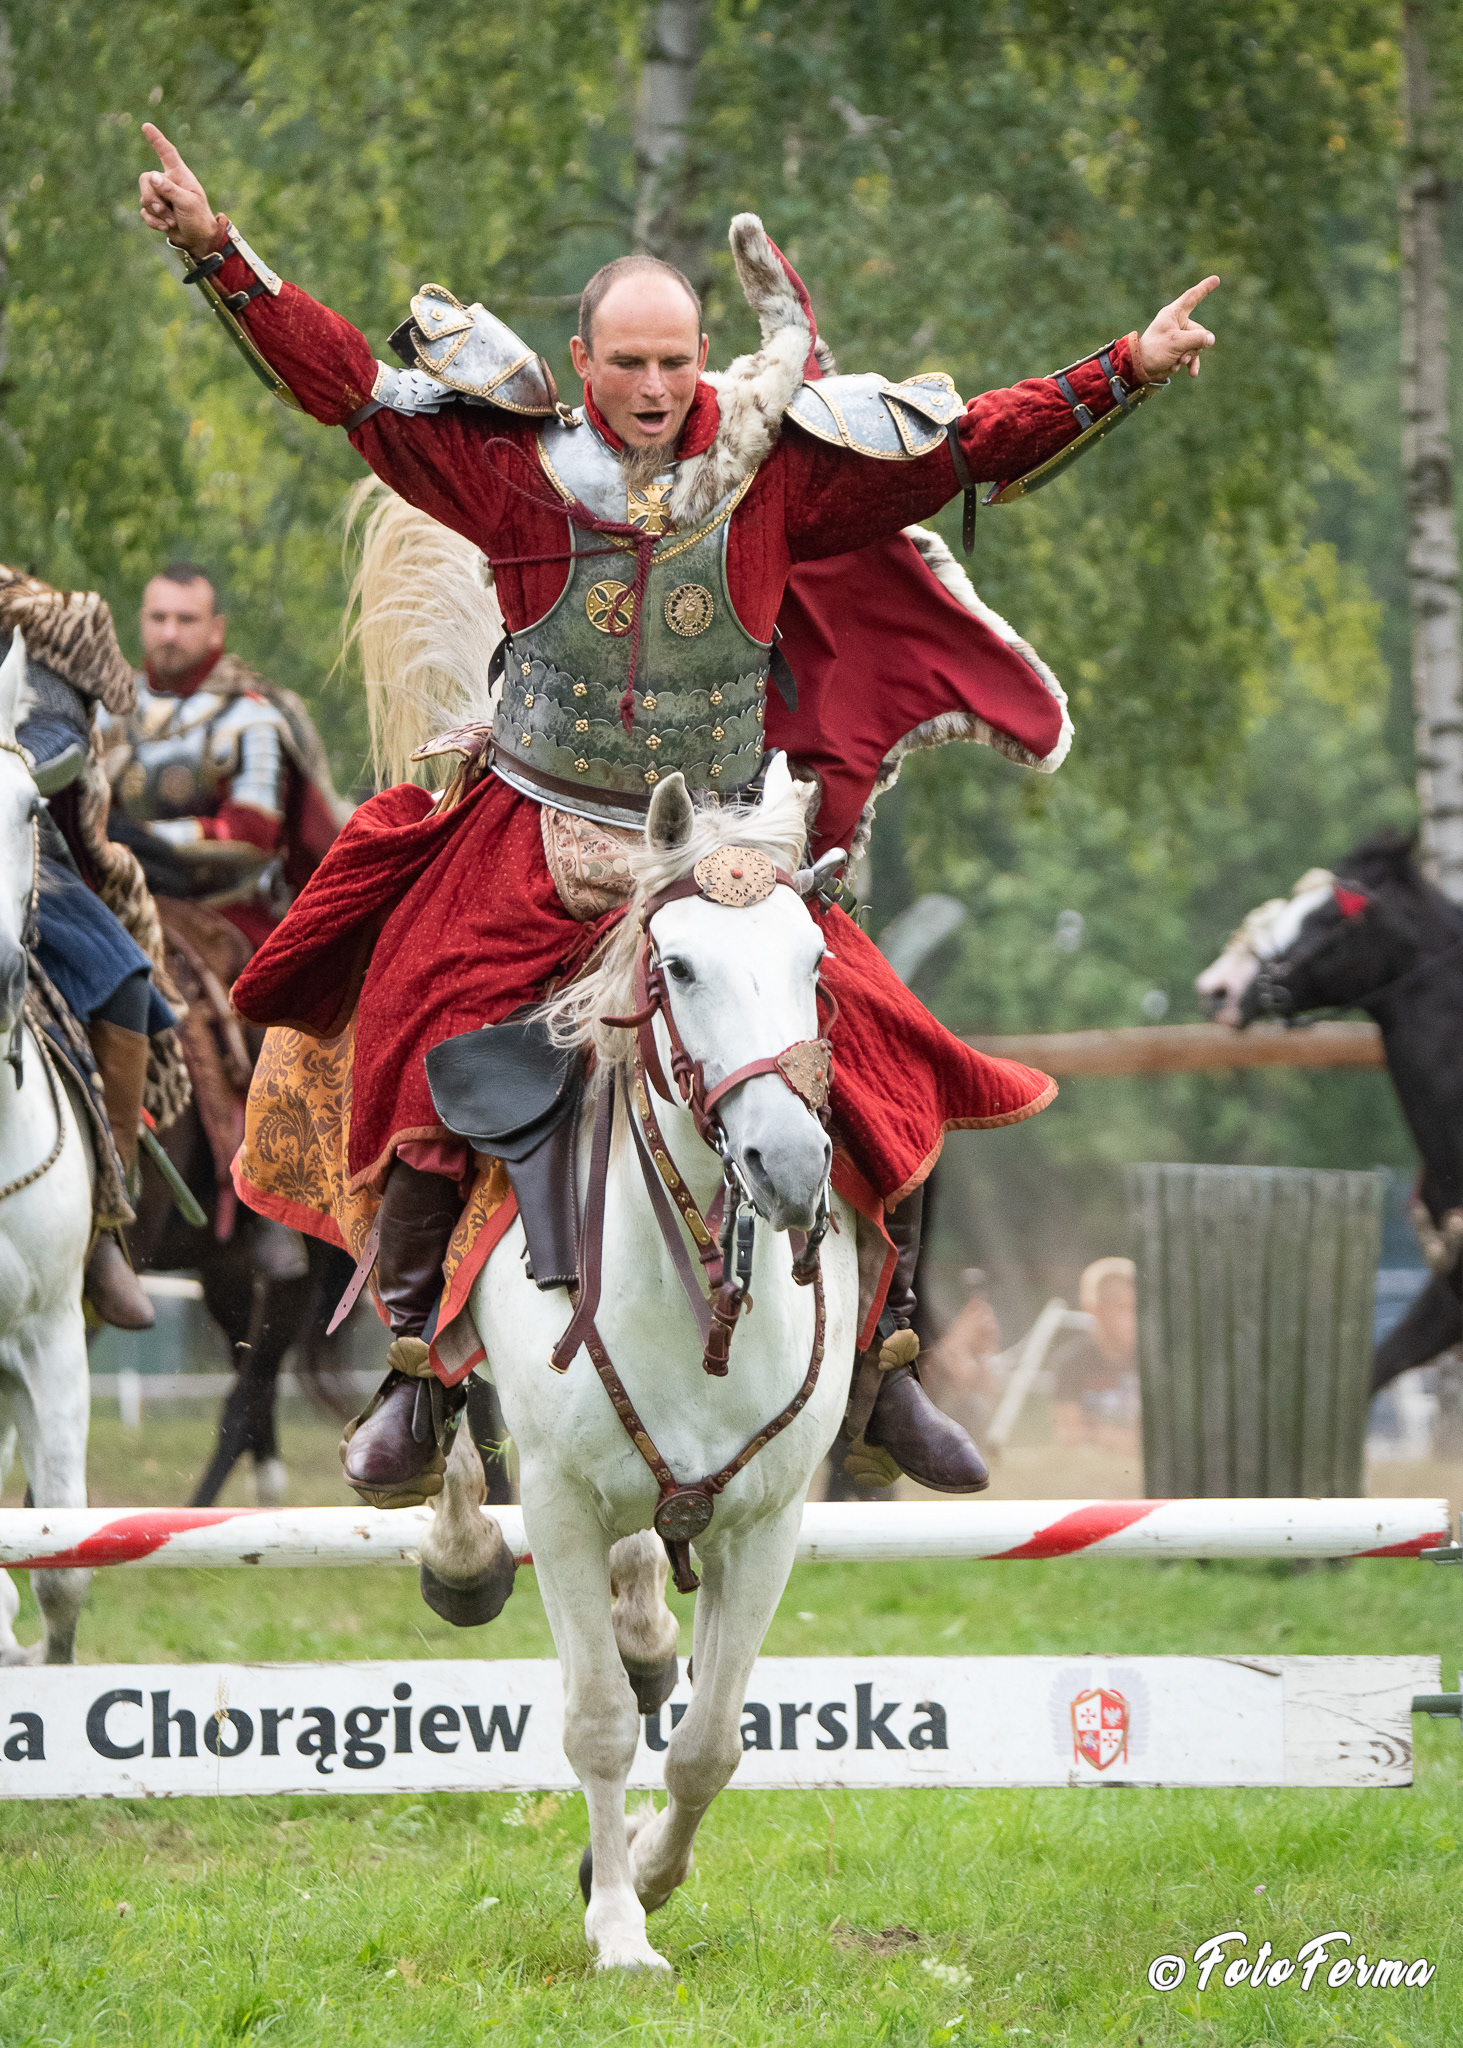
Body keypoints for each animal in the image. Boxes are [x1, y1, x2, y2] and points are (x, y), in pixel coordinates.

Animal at [459, 758, 859, 1971]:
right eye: (678, 965)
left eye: (813, 961)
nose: (789, 1164)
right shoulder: (557, 1501)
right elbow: (595, 1721)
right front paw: (618, 1931)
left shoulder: (765, 1523)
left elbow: (710, 1741)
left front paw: (639, 1867)